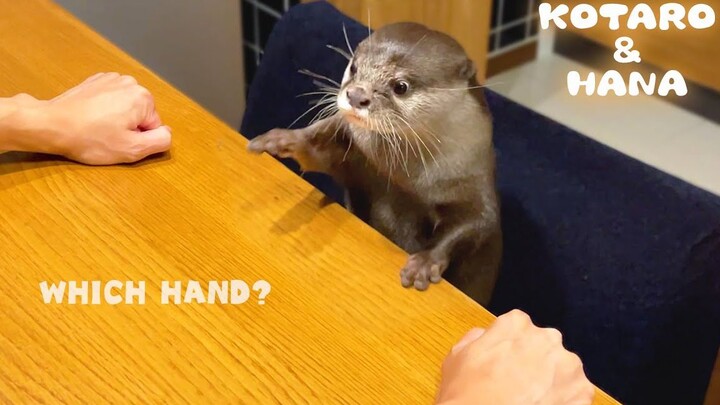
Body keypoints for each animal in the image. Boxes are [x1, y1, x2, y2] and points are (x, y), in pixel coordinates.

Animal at [247, 22, 502, 306]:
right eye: (354, 67)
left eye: (401, 86)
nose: (356, 95)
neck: (408, 179)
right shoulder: (354, 157)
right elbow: (315, 152)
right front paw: (282, 139)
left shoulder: (475, 187)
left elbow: (473, 225)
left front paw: (425, 263)